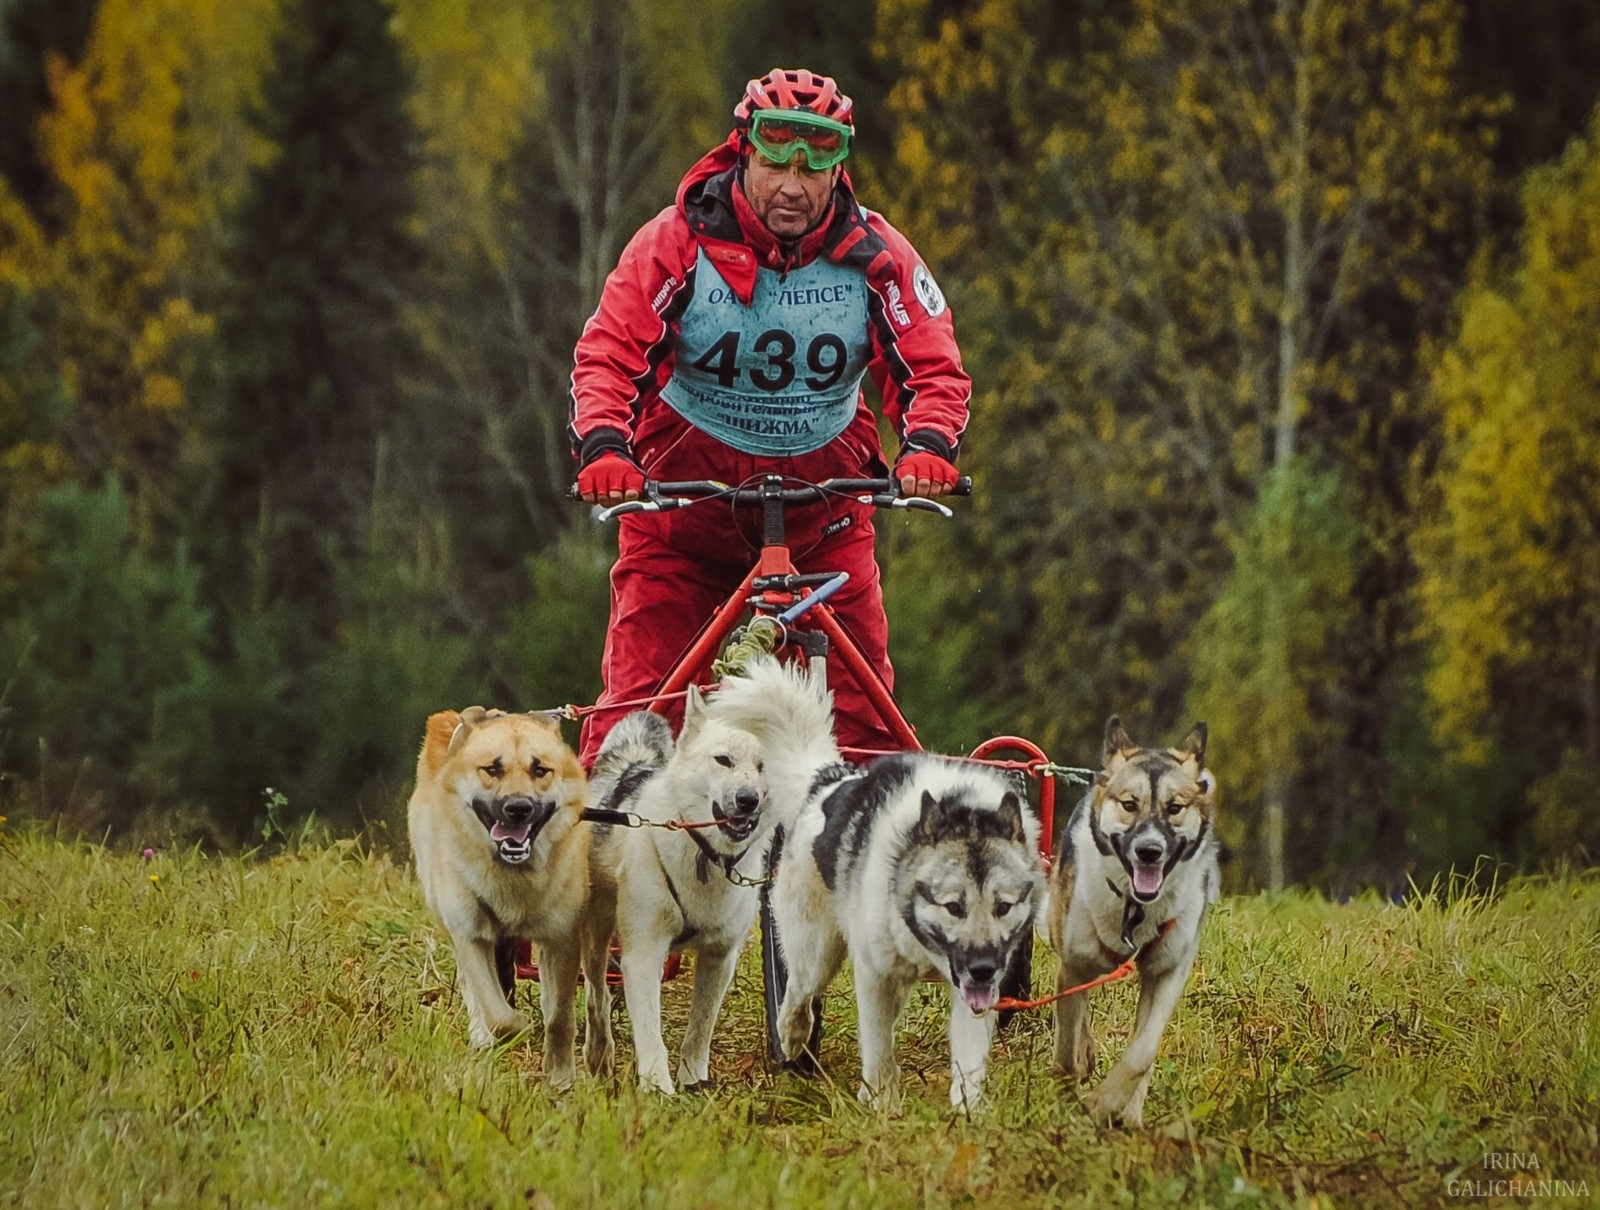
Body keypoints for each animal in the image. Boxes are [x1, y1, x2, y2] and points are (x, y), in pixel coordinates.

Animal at [406, 704, 611, 1094]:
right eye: (492, 769)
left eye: (540, 770)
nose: (518, 808)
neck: (514, 881)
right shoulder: (471, 936)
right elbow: (498, 1012)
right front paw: (511, 1030)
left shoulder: (561, 939)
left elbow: (559, 1016)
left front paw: (560, 1076)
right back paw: (483, 1035)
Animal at [1043, 717, 1216, 1126]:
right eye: (1129, 805)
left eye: (1174, 807)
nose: (1149, 850)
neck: (1135, 910)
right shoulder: (1073, 965)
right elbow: (1066, 1050)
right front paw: (1067, 1100)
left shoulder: (1167, 972)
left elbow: (1142, 1054)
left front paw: (1107, 1103)